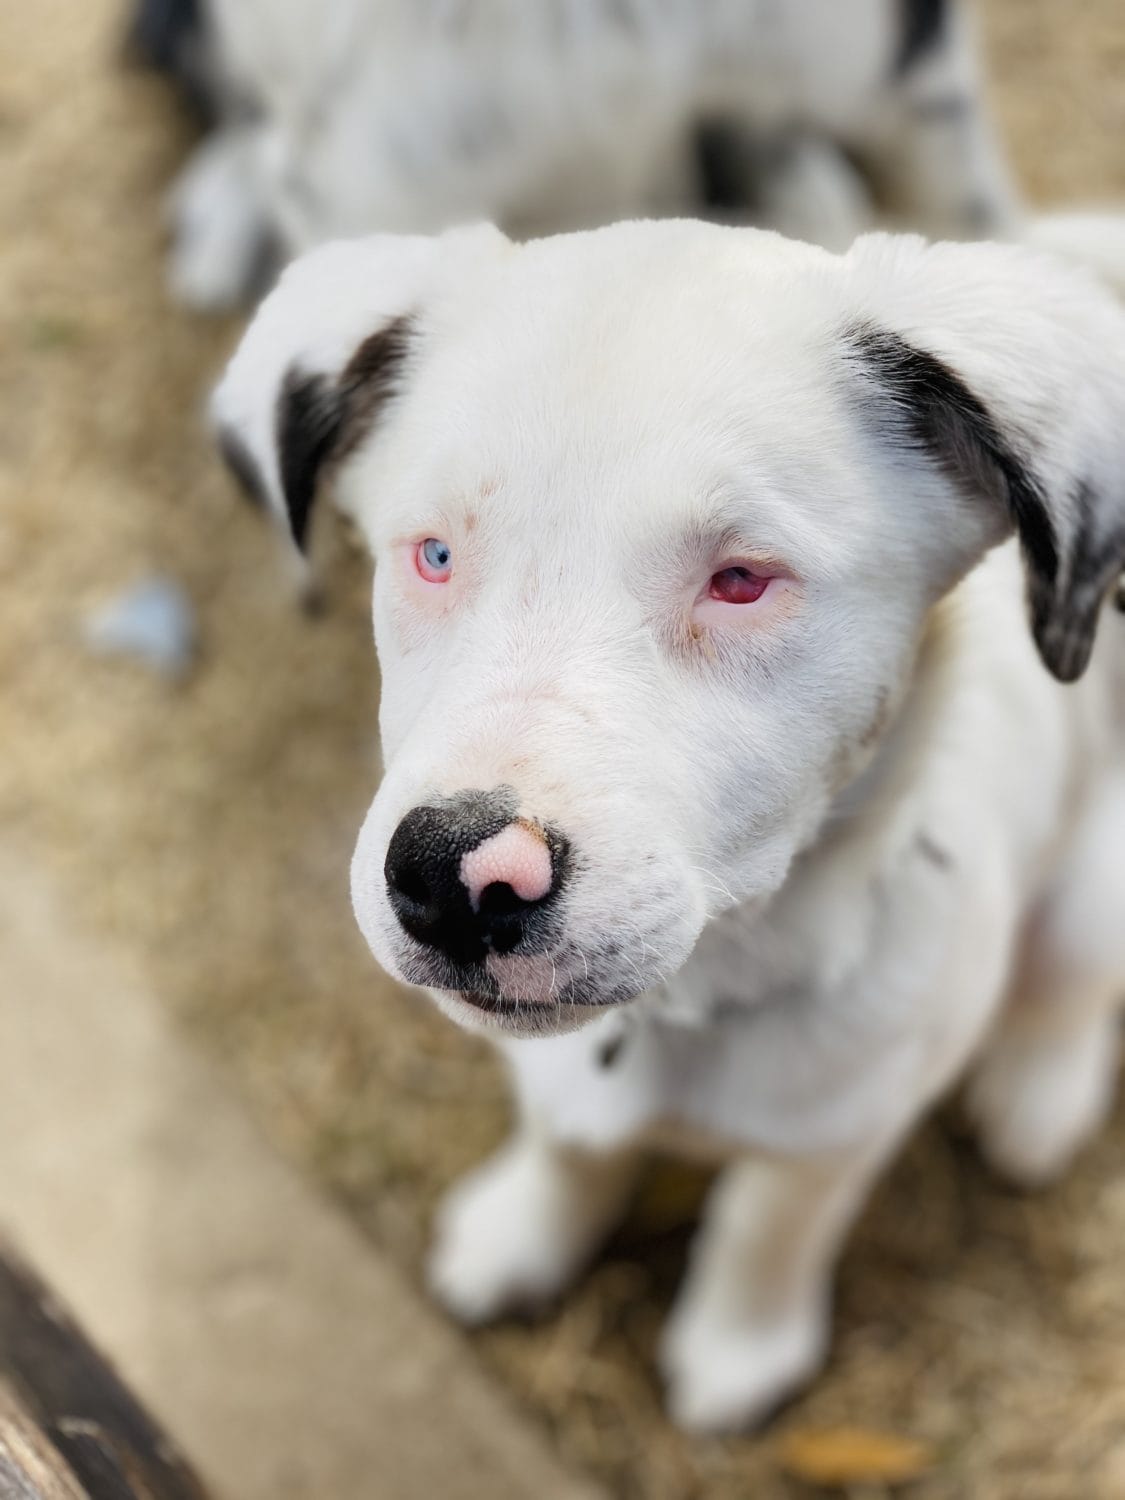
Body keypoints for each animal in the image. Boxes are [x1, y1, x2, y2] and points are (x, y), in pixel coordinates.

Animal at [211, 219, 1125, 1428]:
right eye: (434, 553)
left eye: (740, 579)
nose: (453, 877)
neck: (696, 1006)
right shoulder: (563, 1087)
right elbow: (566, 1150)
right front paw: (523, 1238)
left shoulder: (842, 1129)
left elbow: (770, 1222)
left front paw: (739, 1349)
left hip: (1094, 887)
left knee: (1071, 988)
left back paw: (1036, 1094)